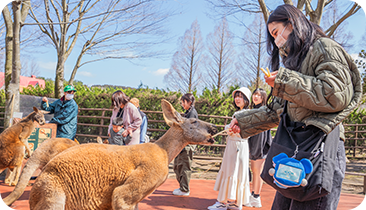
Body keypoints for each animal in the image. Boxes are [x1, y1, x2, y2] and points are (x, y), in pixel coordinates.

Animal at [28, 100, 217, 210]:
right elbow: (121, 196)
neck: (163, 150)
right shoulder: (141, 178)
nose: (214, 128)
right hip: (52, 192)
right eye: (194, 121)